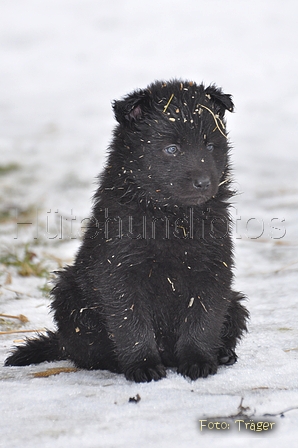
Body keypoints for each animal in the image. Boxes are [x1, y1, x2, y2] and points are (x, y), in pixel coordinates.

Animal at [5, 80, 248, 382]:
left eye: (211, 145)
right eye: (172, 149)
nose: (204, 183)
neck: (171, 217)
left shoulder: (213, 267)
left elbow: (203, 319)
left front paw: (198, 360)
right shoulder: (119, 270)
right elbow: (130, 324)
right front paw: (143, 365)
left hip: (235, 302)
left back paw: (223, 354)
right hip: (69, 297)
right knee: (86, 351)